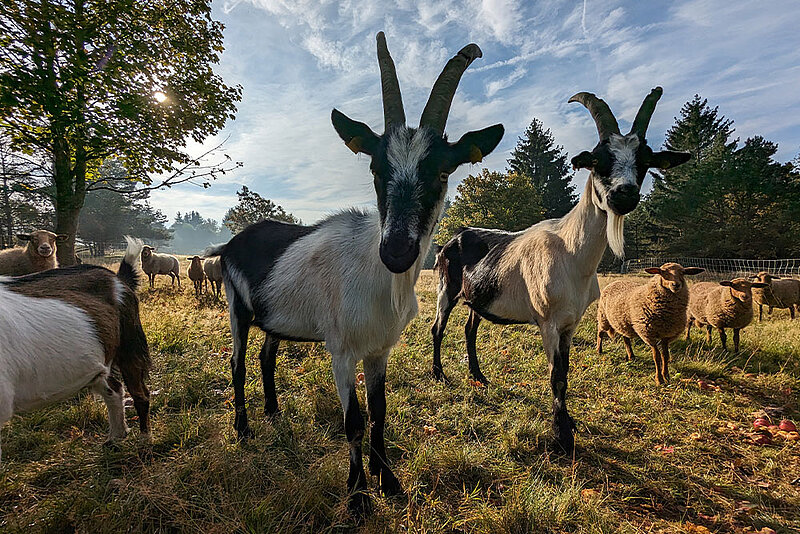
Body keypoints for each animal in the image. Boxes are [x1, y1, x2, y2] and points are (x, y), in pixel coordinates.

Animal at [0, 237, 151, 463]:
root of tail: (117, 278)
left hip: (129, 345)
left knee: (141, 394)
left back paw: (145, 443)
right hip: (98, 362)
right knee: (114, 388)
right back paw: (115, 438)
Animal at [204, 32, 503, 517]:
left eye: (443, 170)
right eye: (375, 167)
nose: (397, 251)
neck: (377, 279)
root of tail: (231, 243)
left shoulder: (379, 349)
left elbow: (379, 411)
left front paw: (389, 480)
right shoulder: (342, 351)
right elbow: (354, 421)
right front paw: (359, 495)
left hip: (275, 316)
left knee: (268, 355)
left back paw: (273, 411)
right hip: (236, 308)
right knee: (237, 362)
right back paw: (244, 428)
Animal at [430, 87, 691, 453]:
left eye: (645, 161)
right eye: (598, 160)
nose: (624, 194)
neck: (572, 252)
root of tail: (451, 239)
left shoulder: (570, 323)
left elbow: (565, 373)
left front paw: (568, 423)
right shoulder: (549, 321)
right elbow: (556, 376)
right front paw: (561, 436)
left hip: (478, 299)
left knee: (470, 330)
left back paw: (479, 377)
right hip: (447, 287)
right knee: (437, 328)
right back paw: (439, 374)